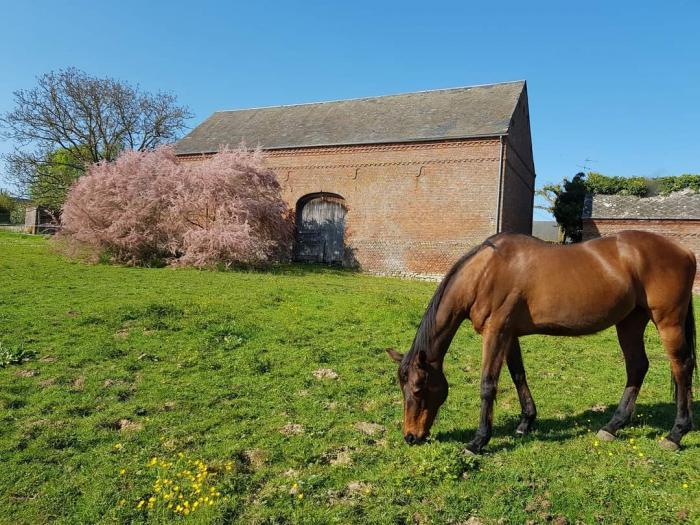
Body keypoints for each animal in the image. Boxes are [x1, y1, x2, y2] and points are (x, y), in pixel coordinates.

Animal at [386, 231, 696, 452]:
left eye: (417, 388)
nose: (410, 436)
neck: (485, 271)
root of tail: (685, 251)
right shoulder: (509, 334)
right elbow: (518, 375)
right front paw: (526, 422)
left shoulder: (496, 332)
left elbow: (488, 385)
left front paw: (478, 441)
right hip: (630, 321)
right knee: (637, 367)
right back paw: (612, 426)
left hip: (667, 321)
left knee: (681, 367)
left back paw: (676, 433)